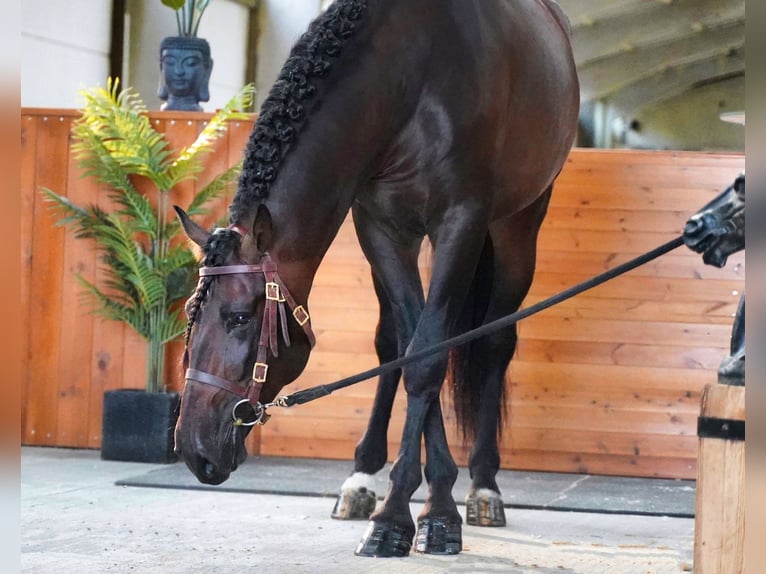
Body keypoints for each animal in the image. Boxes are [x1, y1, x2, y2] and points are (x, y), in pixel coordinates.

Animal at [177, 0, 580, 560]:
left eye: (238, 317)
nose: (193, 448)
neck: (413, 79)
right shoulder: (380, 227)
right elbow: (409, 350)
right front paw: (423, 503)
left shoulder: (461, 222)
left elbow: (429, 357)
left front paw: (408, 518)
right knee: (393, 340)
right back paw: (363, 478)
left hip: (517, 226)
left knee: (495, 341)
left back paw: (484, 487)